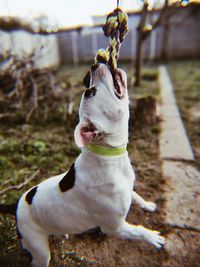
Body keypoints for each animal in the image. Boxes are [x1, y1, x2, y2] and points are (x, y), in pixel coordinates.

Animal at [0, 63, 164, 267]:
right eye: (91, 92)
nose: (94, 65)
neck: (107, 156)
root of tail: (16, 205)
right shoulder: (115, 228)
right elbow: (138, 230)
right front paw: (151, 237)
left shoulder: (128, 189)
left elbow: (136, 195)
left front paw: (147, 205)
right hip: (39, 252)